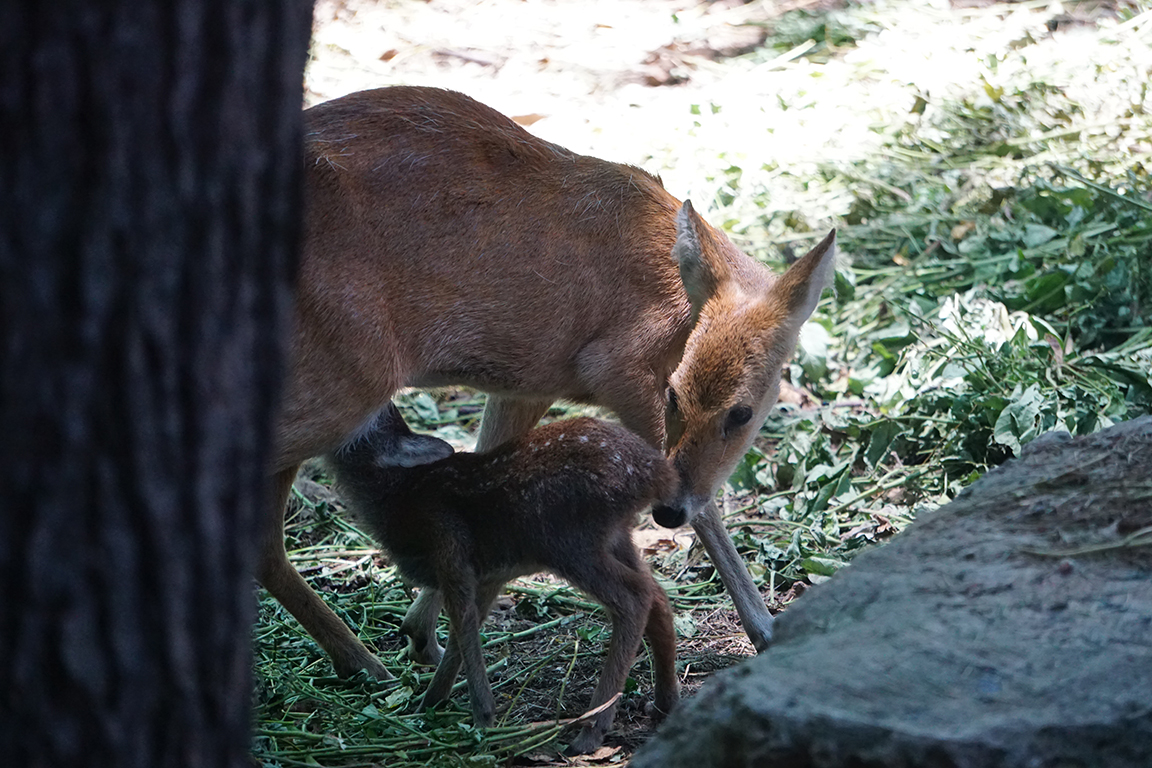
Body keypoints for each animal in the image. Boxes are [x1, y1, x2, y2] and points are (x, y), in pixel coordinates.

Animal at [261, 85, 836, 681]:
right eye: (674, 394)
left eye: (741, 413)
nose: (668, 515)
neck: (674, 303)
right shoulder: (615, 365)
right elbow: (698, 498)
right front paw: (766, 628)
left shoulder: (526, 381)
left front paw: (422, 634)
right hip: (343, 382)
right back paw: (362, 663)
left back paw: (364, 659)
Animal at [325, 402, 680, 754]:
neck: (397, 494)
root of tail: (656, 475)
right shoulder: (485, 574)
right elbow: (462, 634)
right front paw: (430, 703)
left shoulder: (450, 548)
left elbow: (463, 627)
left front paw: (481, 718)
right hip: (614, 536)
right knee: (657, 594)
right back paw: (664, 705)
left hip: (568, 540)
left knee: (634, 598)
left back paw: (590, 732)